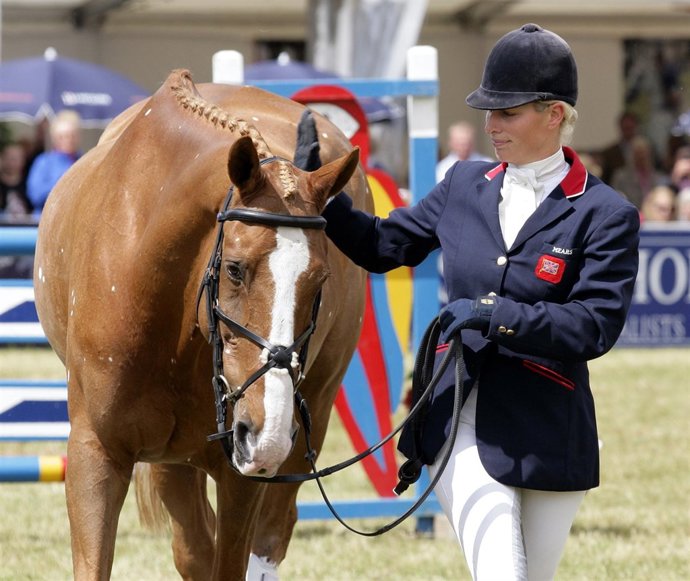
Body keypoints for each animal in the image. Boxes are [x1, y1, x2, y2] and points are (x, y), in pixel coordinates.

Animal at [33, 69, 371, 580]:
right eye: (234, 268)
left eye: (321, 281)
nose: (267, 433)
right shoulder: (97, 454)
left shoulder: (242, 474)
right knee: (192, 545)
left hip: (308, 412)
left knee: (271, 531)